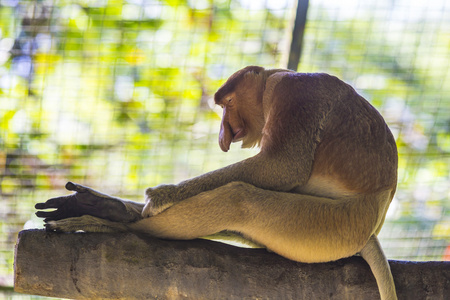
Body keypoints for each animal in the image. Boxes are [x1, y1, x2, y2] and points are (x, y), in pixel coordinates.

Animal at [37, 66, 400, 300]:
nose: (223, 133)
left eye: (227, 104)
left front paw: (163, 195)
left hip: (332, 226)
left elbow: (283, 166)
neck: (271, 83)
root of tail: (374, 222)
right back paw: (107, 210)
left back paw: (110, 224)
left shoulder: (296, 93)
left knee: (240, 200)